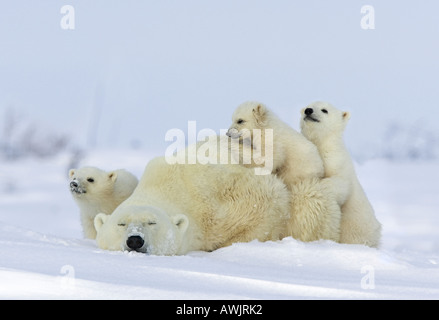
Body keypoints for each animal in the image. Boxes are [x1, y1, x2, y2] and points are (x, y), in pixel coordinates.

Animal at [300, 101, 384, 249]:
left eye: (324, 110)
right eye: (307, 106)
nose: (308, 111)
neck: (322, 143)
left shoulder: (337, 161)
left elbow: (340, 184)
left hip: (357, 230)